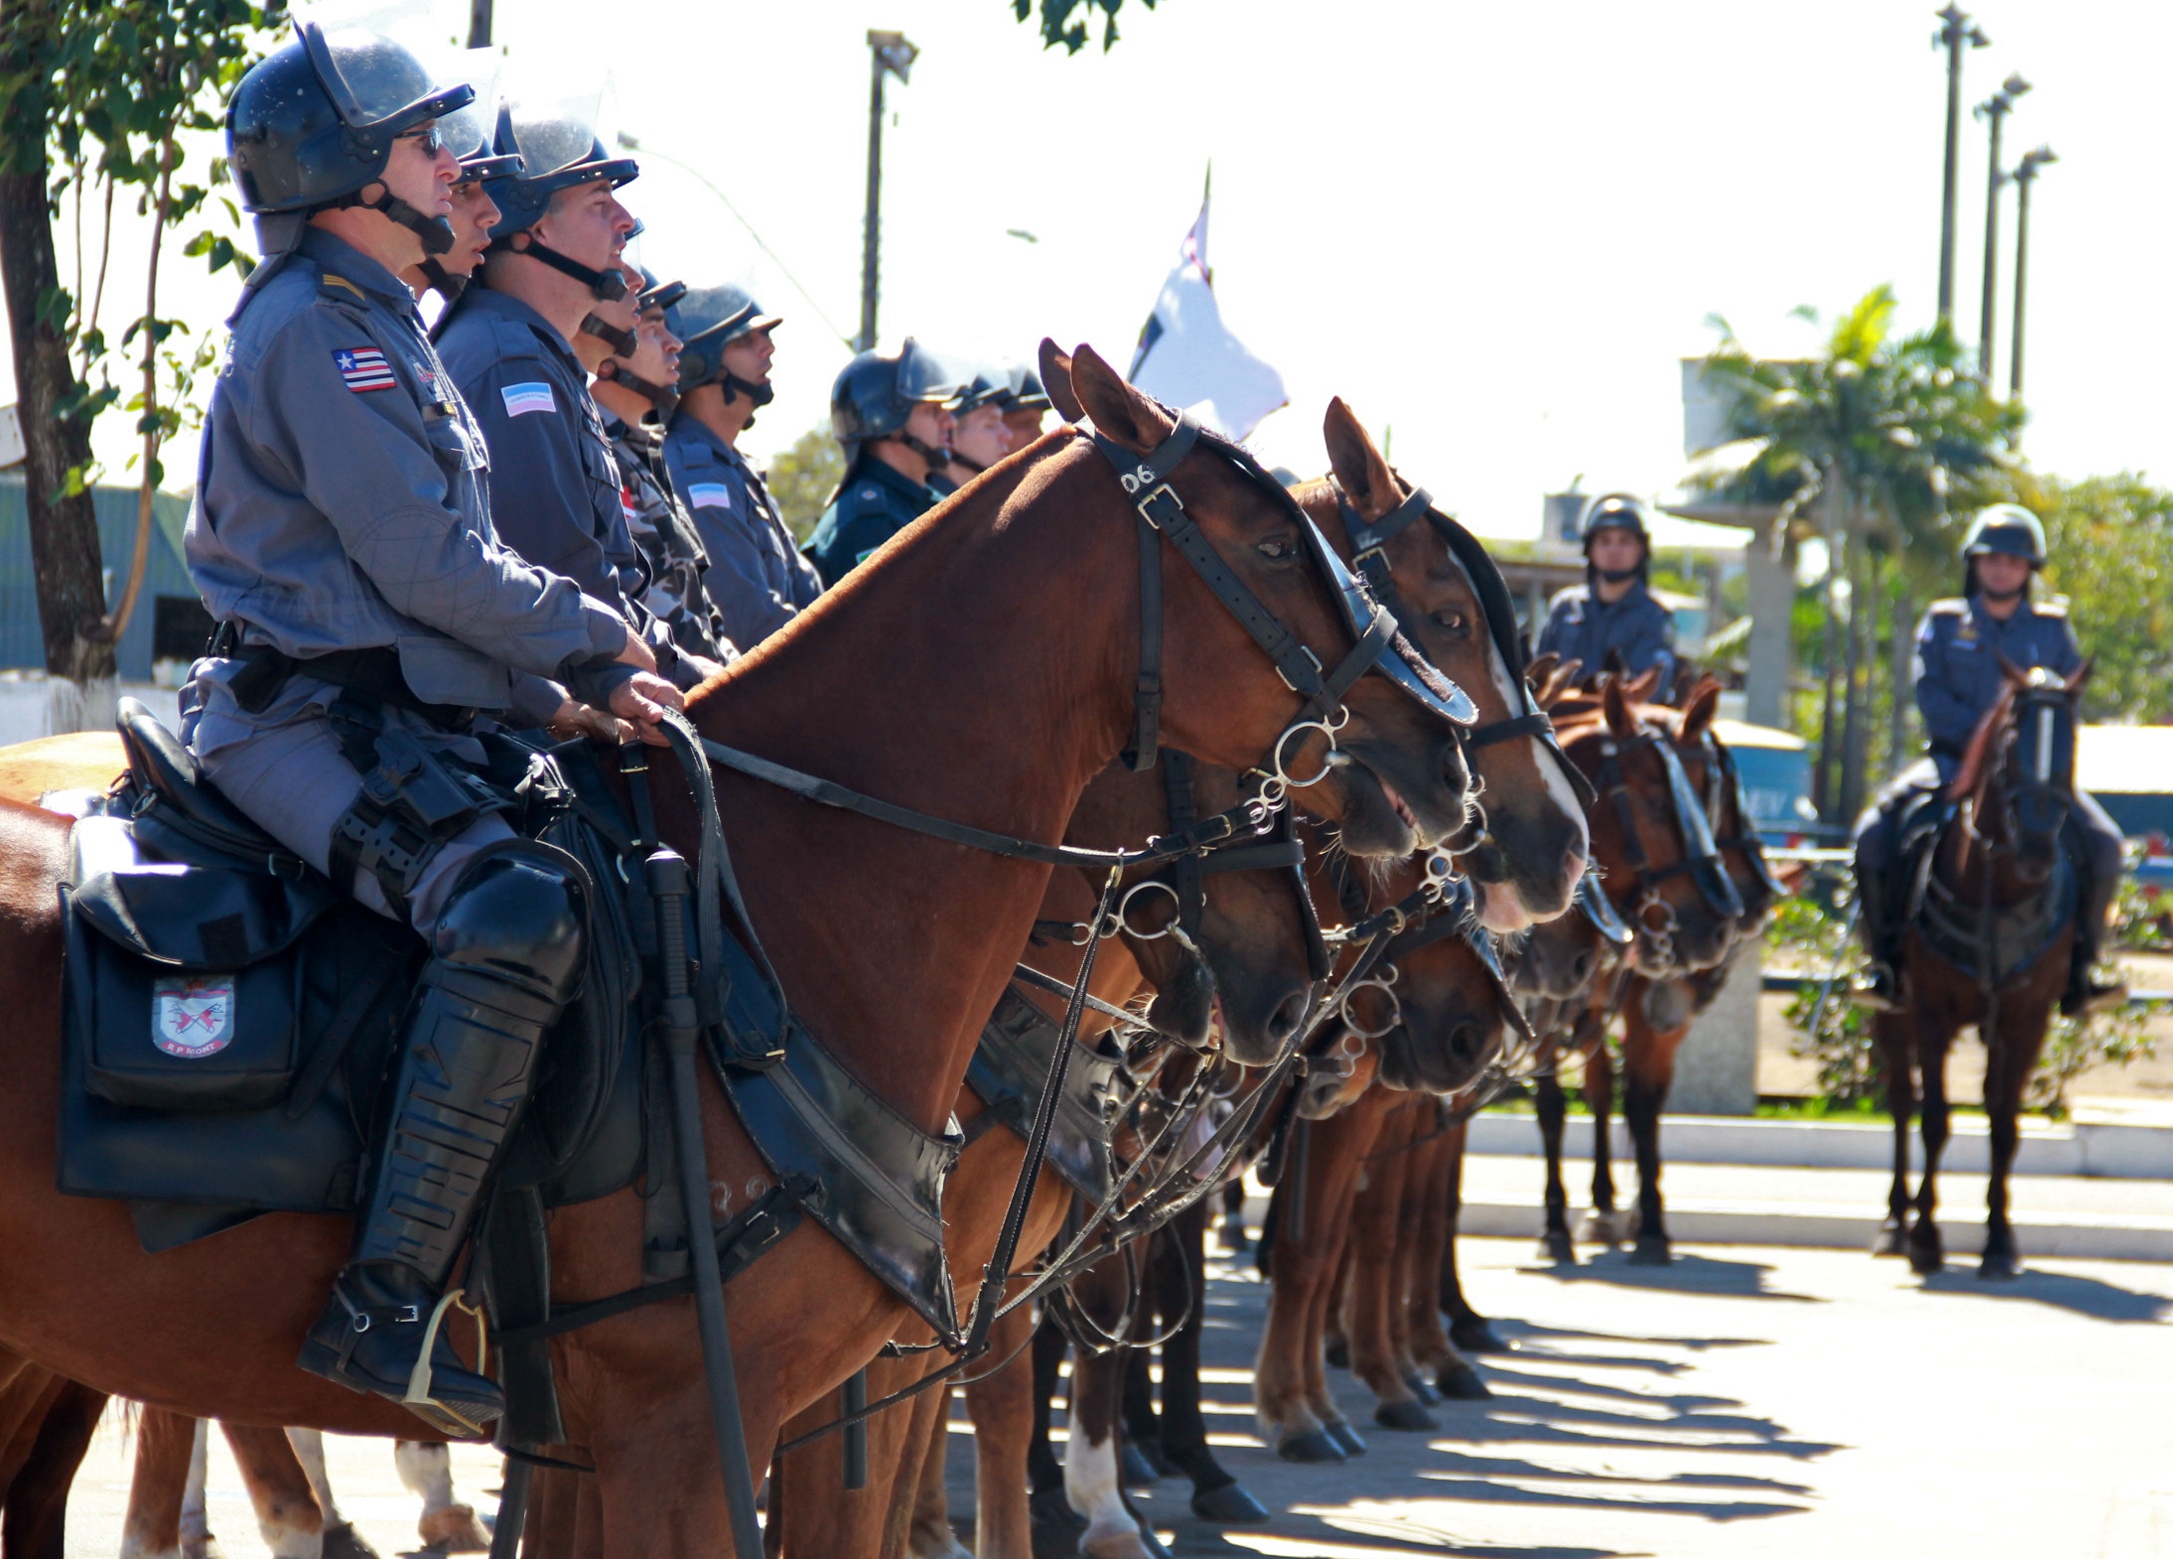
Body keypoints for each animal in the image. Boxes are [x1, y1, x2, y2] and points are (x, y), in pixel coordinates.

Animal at [1868, 656, 2086, 1278]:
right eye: (2012, 742)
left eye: (2072, 739)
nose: (2037, 849)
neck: (1998, 890)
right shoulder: (1931, 1013)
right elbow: (1935, 1118)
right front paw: (1926, 1237)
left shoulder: (2028, 1017)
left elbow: (2005, 1124)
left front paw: (1999, 1240)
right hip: (1890, 1013)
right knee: (1901, 1101)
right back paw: (1896, 1221)